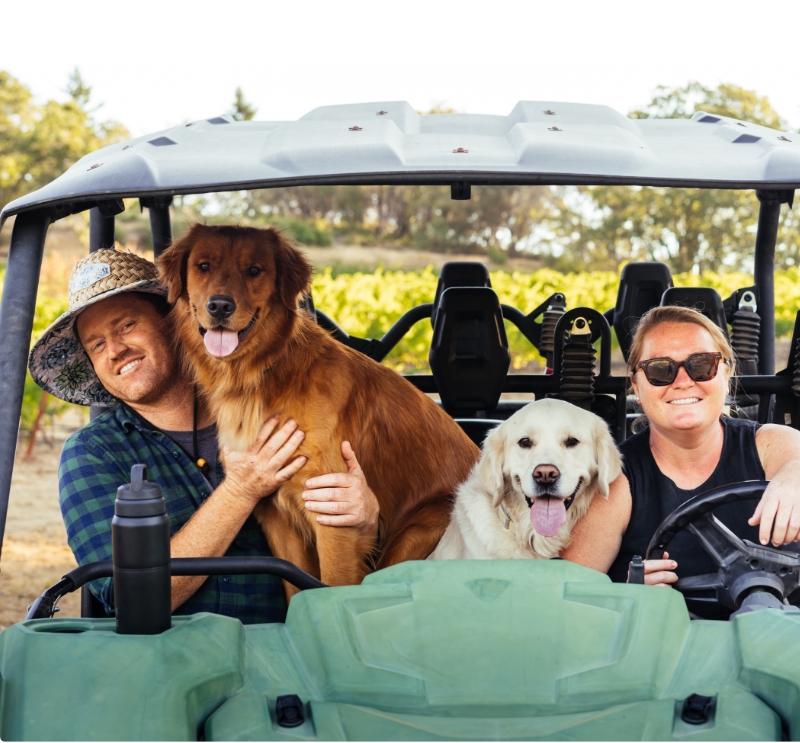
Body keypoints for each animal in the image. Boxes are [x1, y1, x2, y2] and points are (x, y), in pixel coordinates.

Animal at [159, 224, 478, 596]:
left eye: (254, 270)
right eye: (203, 266)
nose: (220, 306)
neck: (262, 373)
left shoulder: (334, 511)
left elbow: (334, 584)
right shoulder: (277, 518)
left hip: (423, 526)